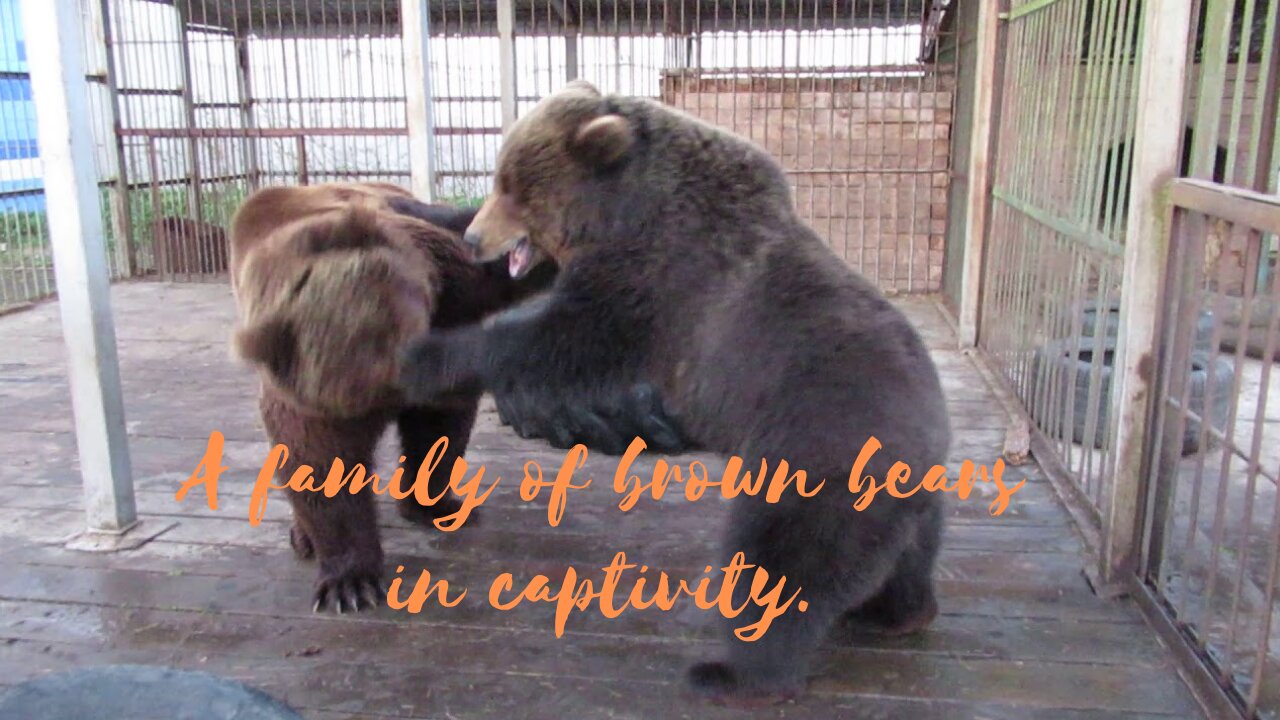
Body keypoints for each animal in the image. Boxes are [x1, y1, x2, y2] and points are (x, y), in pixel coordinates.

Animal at [229, 180, 660, 609]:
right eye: (368, 352)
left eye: (414, 318)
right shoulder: (308, 395)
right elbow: (320, 466)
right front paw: (350, 583)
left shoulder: (447, 285)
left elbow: (437, 432)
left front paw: (433, 504)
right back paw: (303, 538)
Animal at [396, 82, 952, 702]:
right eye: (499, 177)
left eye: (518, 188)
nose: (476, 241)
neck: (626, 208)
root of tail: (929, 435)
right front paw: (419, 208)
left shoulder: (660, 281)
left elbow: (560, 343)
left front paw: (425, 355)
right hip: (904, 500)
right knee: (907, 555)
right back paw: (897, 612)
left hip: (819, 460)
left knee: (783, 560)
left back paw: (732, 672)